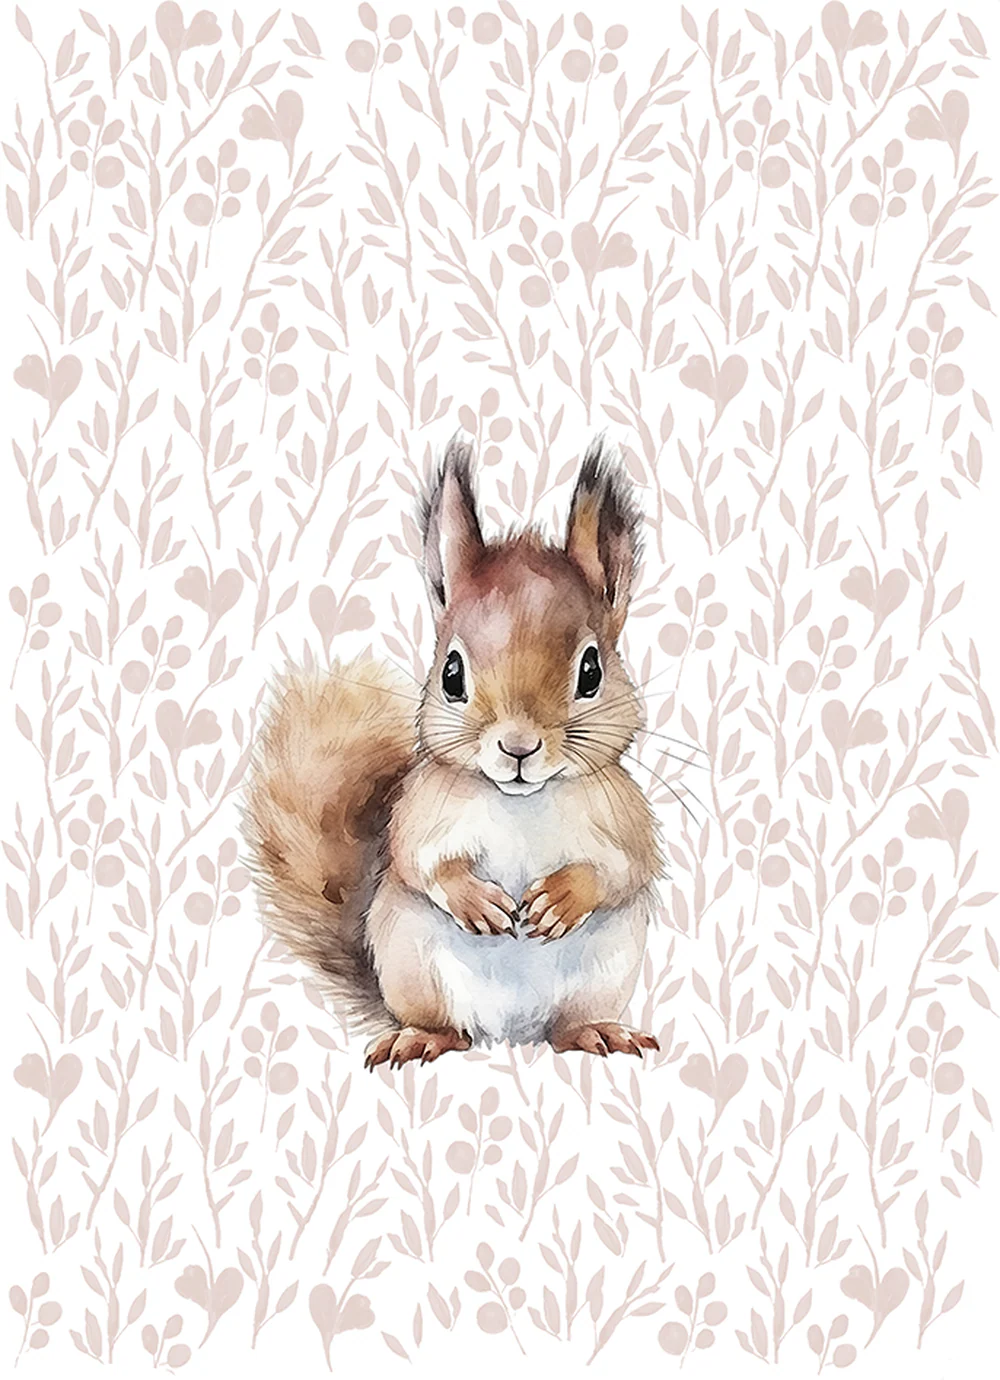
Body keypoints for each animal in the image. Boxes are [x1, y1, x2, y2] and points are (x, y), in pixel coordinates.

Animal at [243, 435, 664, 1068]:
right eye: (451, 674)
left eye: (591, 671)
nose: (518, 747)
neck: (522, 802)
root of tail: (513, 1033)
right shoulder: (421, 813)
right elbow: (420, 861)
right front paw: (476, 901)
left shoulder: (625, 817)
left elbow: (624, 868)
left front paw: (562, 898)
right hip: (415, 968)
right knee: (448, 1027)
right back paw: (422, 1037)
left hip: (602, 975)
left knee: (567, 1026)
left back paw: (596, 1032)